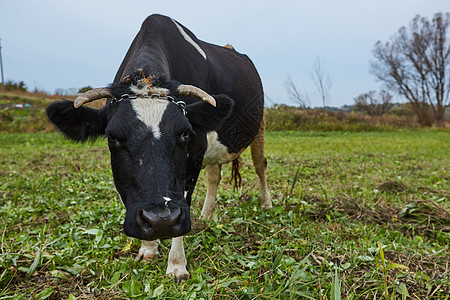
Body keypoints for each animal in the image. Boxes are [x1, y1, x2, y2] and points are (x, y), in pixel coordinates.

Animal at [45, 13, 272, 282]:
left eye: (185, 133)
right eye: (112, 137)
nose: (161, 220)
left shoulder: (195, 150)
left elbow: (184, 200)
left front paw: (177, 264)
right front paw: (148, 249)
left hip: (260, 125)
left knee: (260, 165)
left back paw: (266, 203)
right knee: (214, 176)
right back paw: (205, 216)